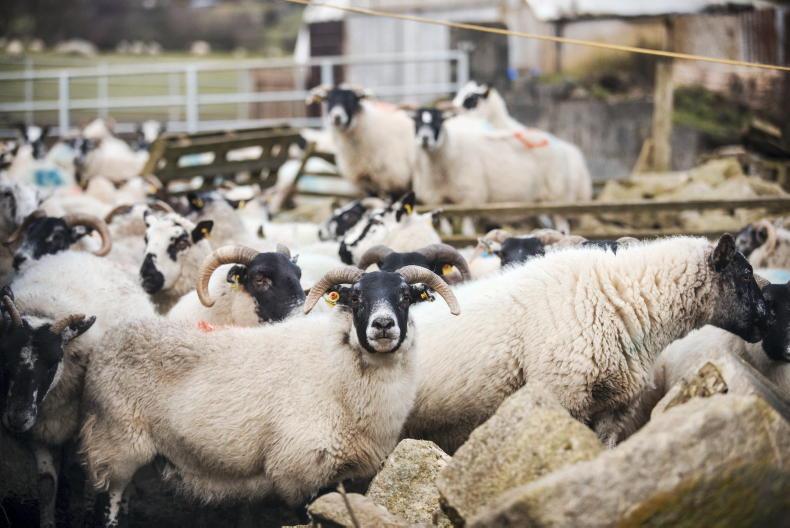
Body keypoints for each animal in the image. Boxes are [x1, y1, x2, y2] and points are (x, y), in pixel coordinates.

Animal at [79, 266, 460, 527]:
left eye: (405, 297)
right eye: (355, 298)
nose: (382, 325)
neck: (338, 374)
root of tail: (110, 339)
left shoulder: (343, 475)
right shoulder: (300, 471)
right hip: (117, 442)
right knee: (109, 499)